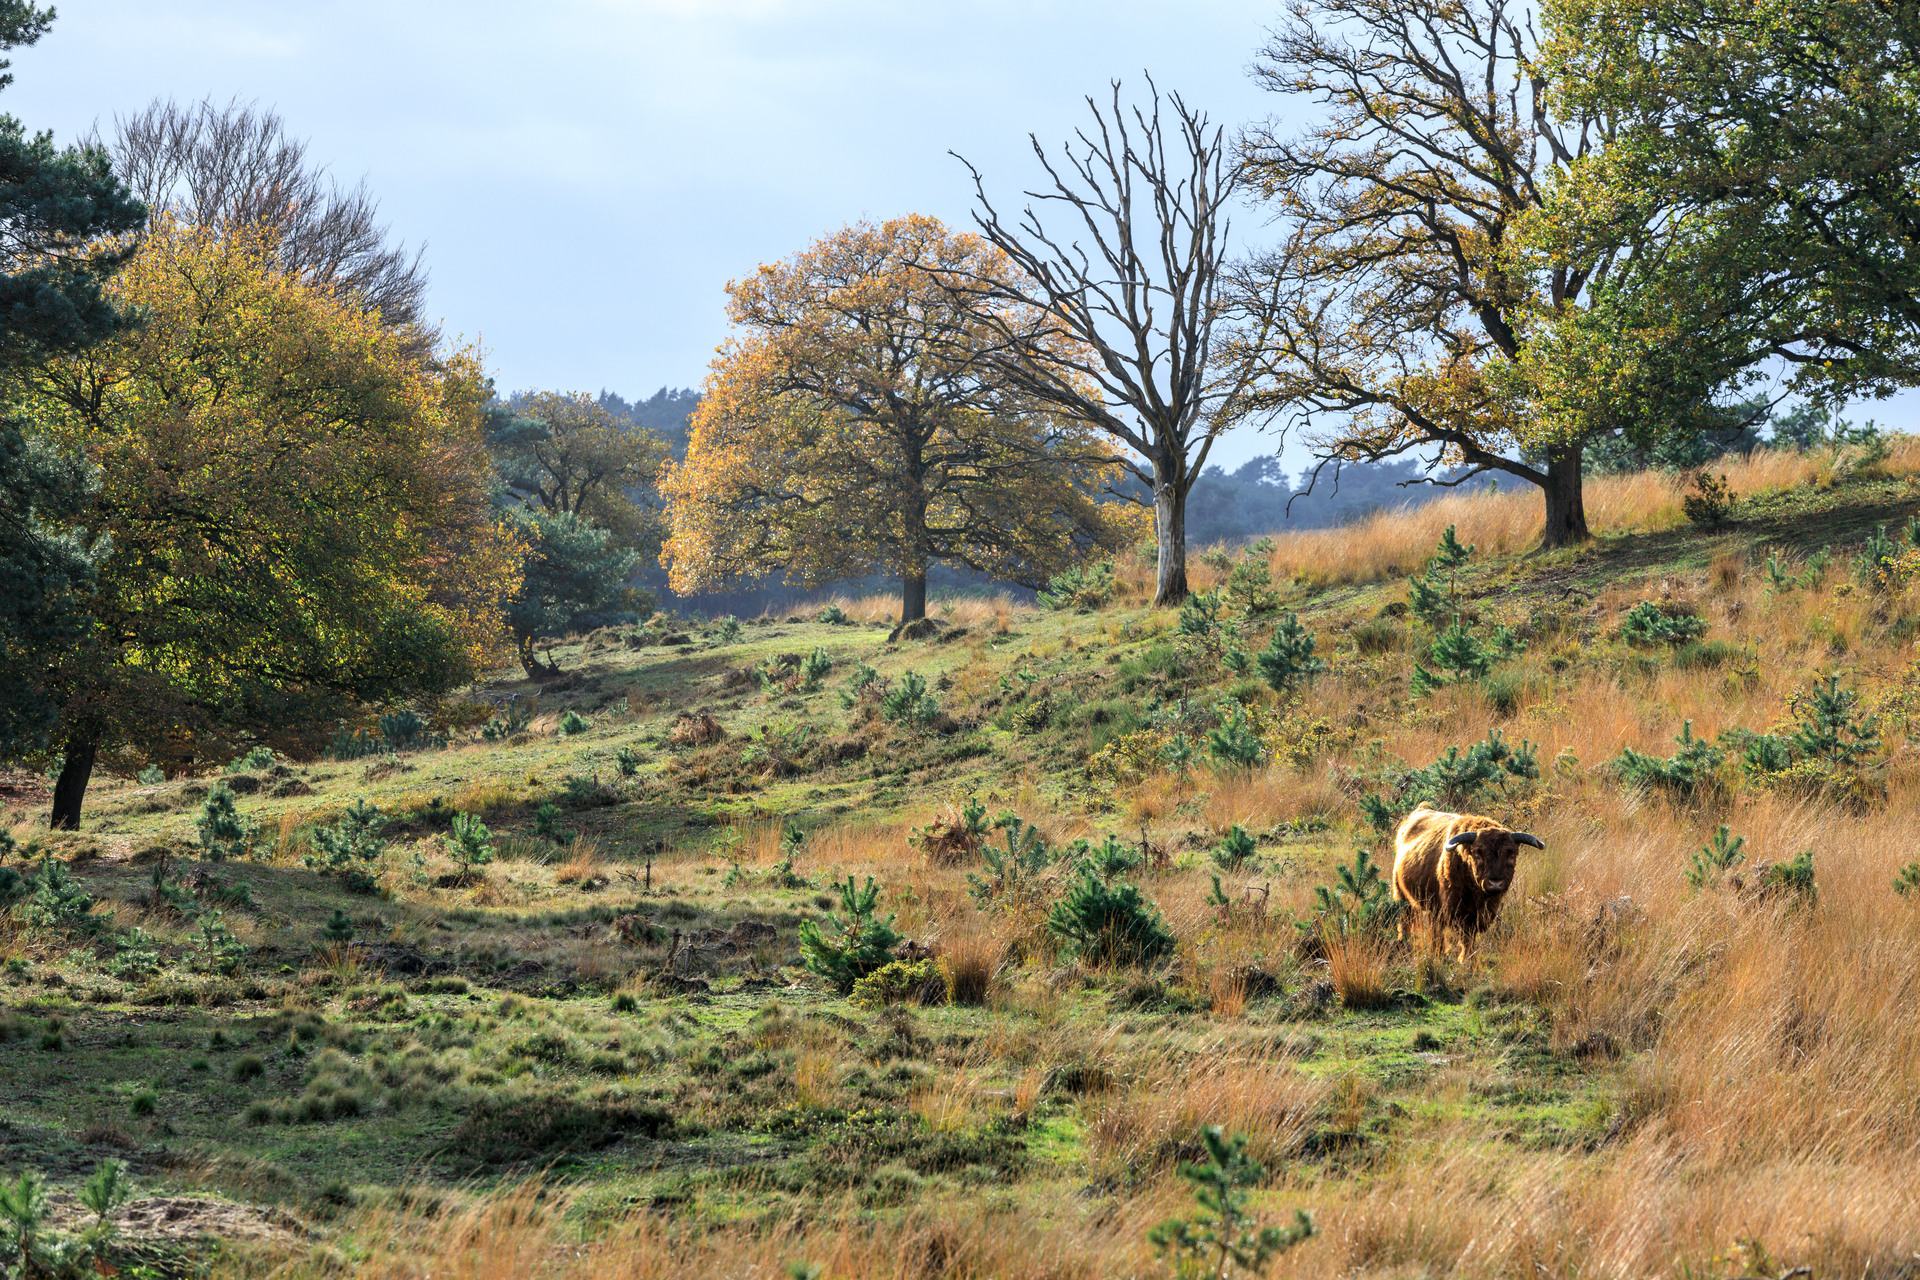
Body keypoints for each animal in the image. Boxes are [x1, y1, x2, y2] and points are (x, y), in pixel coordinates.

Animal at [1390, 809, 1536, 959]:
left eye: (1511, 854)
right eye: (1478, 853)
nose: (1495, 883)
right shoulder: (1457, 910)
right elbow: (1466, 936)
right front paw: (1465, 958)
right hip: (1402, 896)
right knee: (1406, 922)